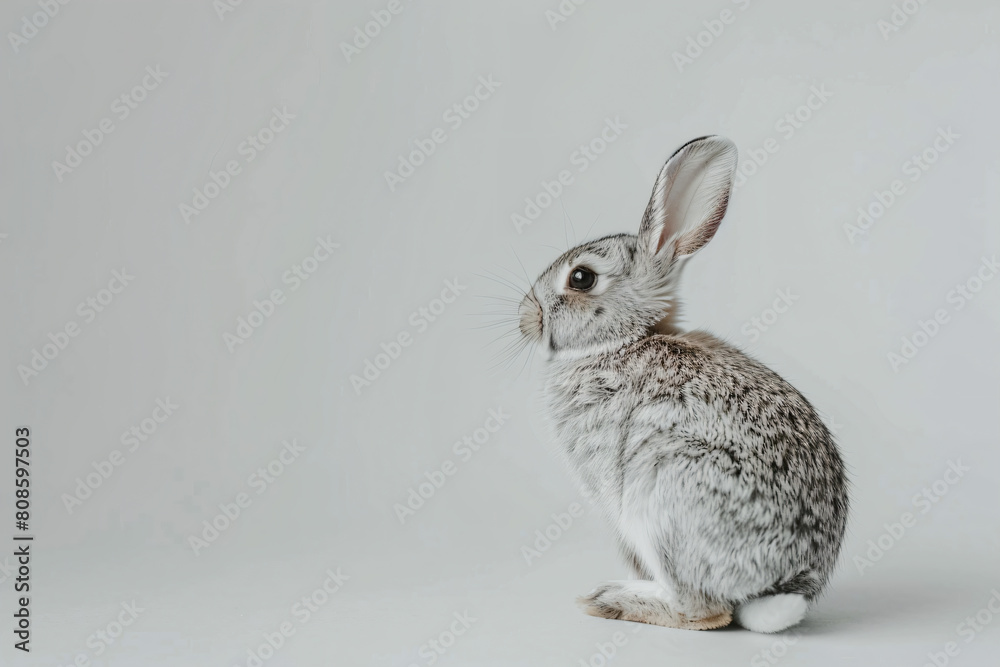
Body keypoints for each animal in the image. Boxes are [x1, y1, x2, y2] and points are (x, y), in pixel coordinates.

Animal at [520, 134, 848, 632]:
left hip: (664, 501)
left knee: (706, 612)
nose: (527, 316)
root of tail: (785, 584)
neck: (625, 339)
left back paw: (611, 599)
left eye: (581, 278)